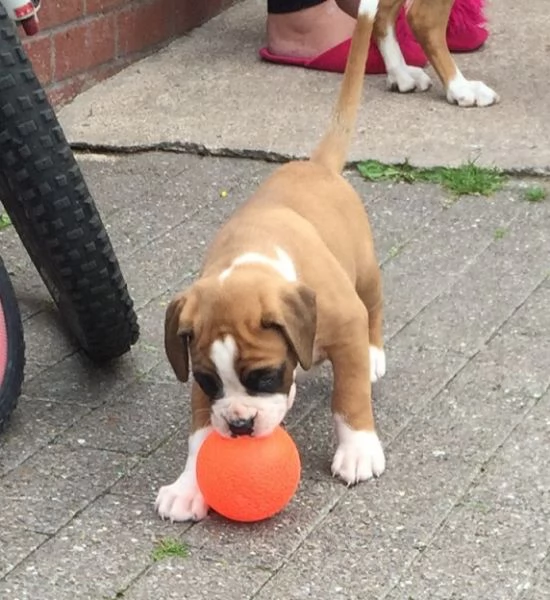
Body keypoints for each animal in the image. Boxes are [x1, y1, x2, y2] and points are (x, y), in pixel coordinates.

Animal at [157, 0, 404, 524]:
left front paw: (358, 449)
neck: (254, 261)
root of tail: (317, 164)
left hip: (366, 273)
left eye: (265, 377)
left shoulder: (345, 324)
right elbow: (198, 429)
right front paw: (189, 485)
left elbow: (349, 396)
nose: (240, 425)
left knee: (374, 308)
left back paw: (375, 354)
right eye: (208, 380)